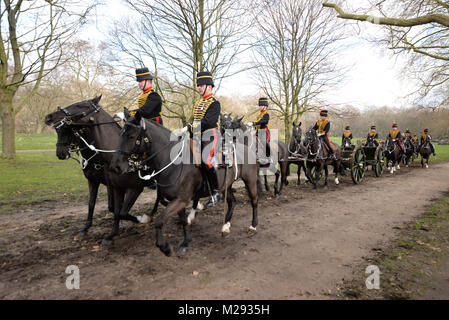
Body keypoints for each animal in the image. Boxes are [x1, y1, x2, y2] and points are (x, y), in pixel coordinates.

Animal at [43, 95, 164, 245]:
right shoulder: (103, 183)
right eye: (58, 131)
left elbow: (121, 211)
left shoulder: (134, 188)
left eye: (81, 105)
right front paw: (90, 230)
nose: (49, 117)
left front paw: (140, 220)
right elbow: (100, 206)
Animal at [109, 110, 260, 258]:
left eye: (131, 136)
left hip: (250, 181)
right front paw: (185, 243)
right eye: (121, 134)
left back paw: (253, 226)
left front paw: (165, 247)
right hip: (226, 186)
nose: (115, 167)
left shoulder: (181, 200)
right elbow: (182, 221)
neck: (173, 162)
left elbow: (159, 221)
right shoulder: (176, 200)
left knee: (254, 201)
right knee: (232, 202)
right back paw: (225, 227)